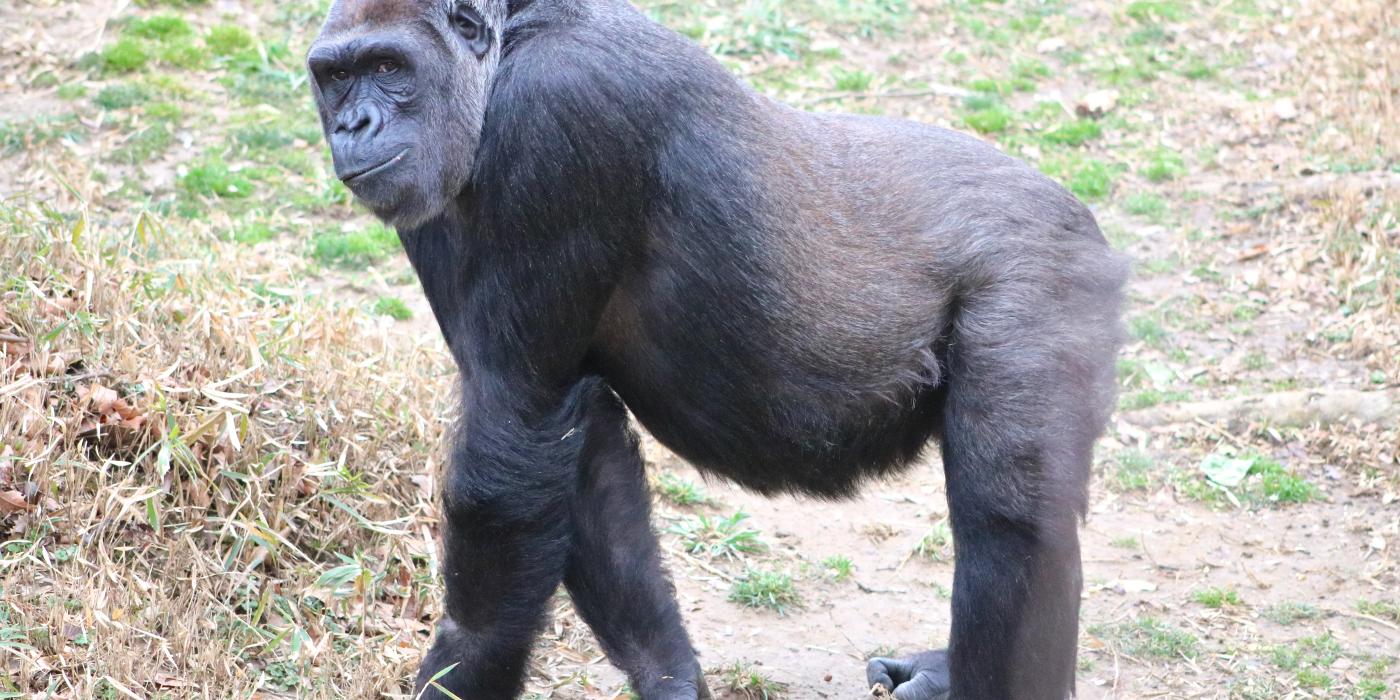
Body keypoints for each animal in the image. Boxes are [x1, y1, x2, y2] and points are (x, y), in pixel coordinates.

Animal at [306, 0, 1125, 697]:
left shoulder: (560, 112)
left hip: (1049, 275)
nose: (354, 124)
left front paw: (460, 665)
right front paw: (668, 674)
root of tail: (1083, 217)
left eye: (389, 66)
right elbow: (578, 444)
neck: (509, 44)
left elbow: (512, 443)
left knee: (1011, 520)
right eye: (335, 77)